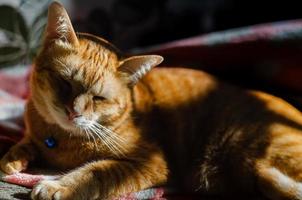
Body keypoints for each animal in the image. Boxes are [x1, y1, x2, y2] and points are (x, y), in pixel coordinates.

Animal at [1, 0, 302, 199]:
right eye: (65, 83)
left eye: (98, 98)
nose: (73, 113)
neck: (61, 141)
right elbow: (24, 145)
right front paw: (13, 159)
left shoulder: (148, 162)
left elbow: (94, 173)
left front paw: (57, 185)